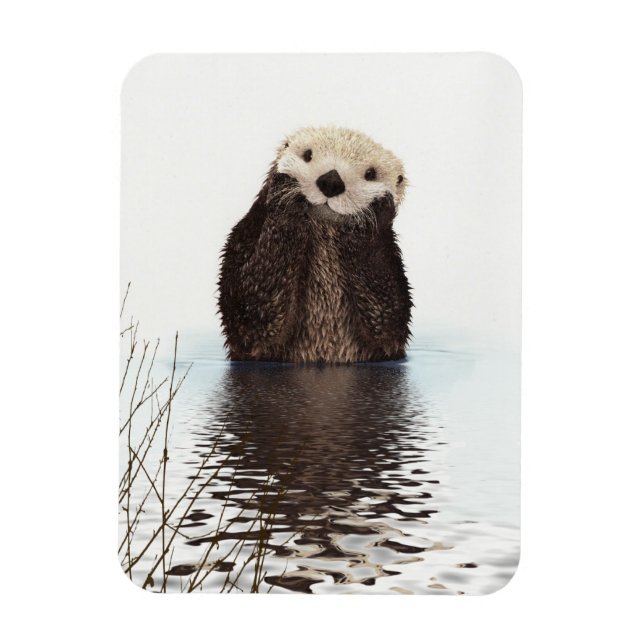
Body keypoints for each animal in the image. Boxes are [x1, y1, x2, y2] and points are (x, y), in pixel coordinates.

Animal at [217, 126, 412, 363]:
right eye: (307, 155)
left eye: (371, 174)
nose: (331, 181)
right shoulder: (244, 237)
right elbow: (250, 309)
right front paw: (285, 194)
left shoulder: (390, 264)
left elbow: (388, 319)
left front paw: (371, 215)